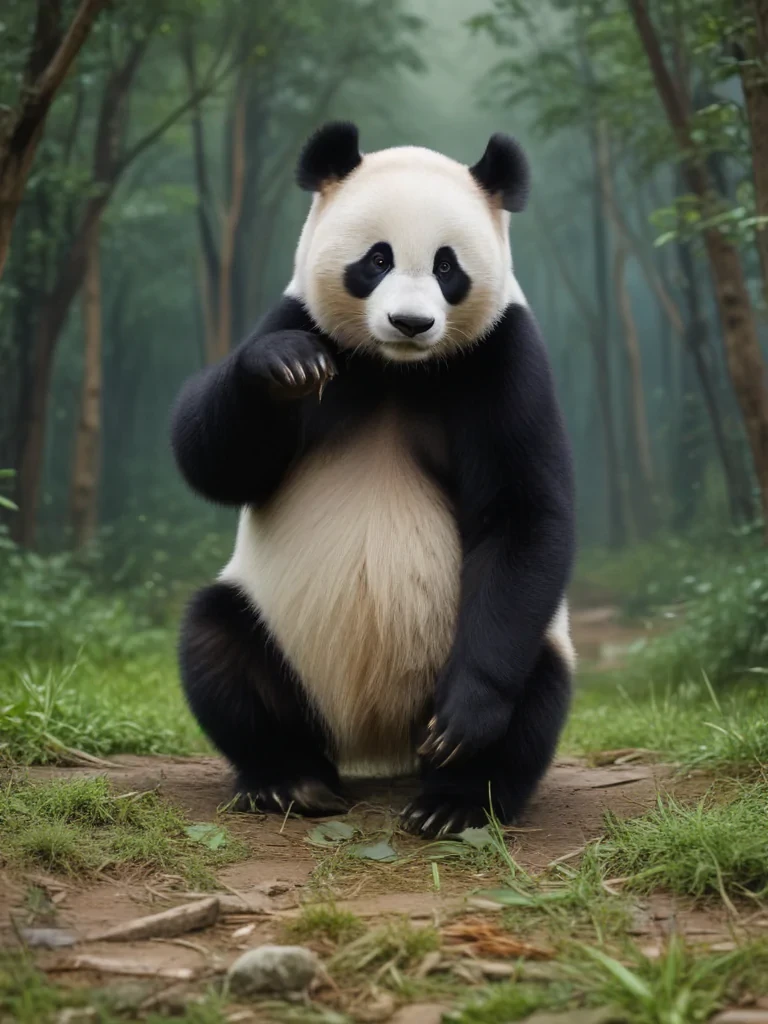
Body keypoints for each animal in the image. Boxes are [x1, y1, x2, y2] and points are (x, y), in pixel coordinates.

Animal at [171, 122, 576, 839]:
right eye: (377, 260)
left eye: (447, 267)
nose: (410, 323)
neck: (395, 370)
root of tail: (378, 742)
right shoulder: (299, 315)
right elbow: (212, 460)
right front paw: (282, 367)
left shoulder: (505, 354)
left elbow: (524, 511)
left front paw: (465, 721)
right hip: (278, 641)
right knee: (218, 645)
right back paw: (289, 780)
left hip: (505, 645)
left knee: (533, 683)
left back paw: (454, 798)